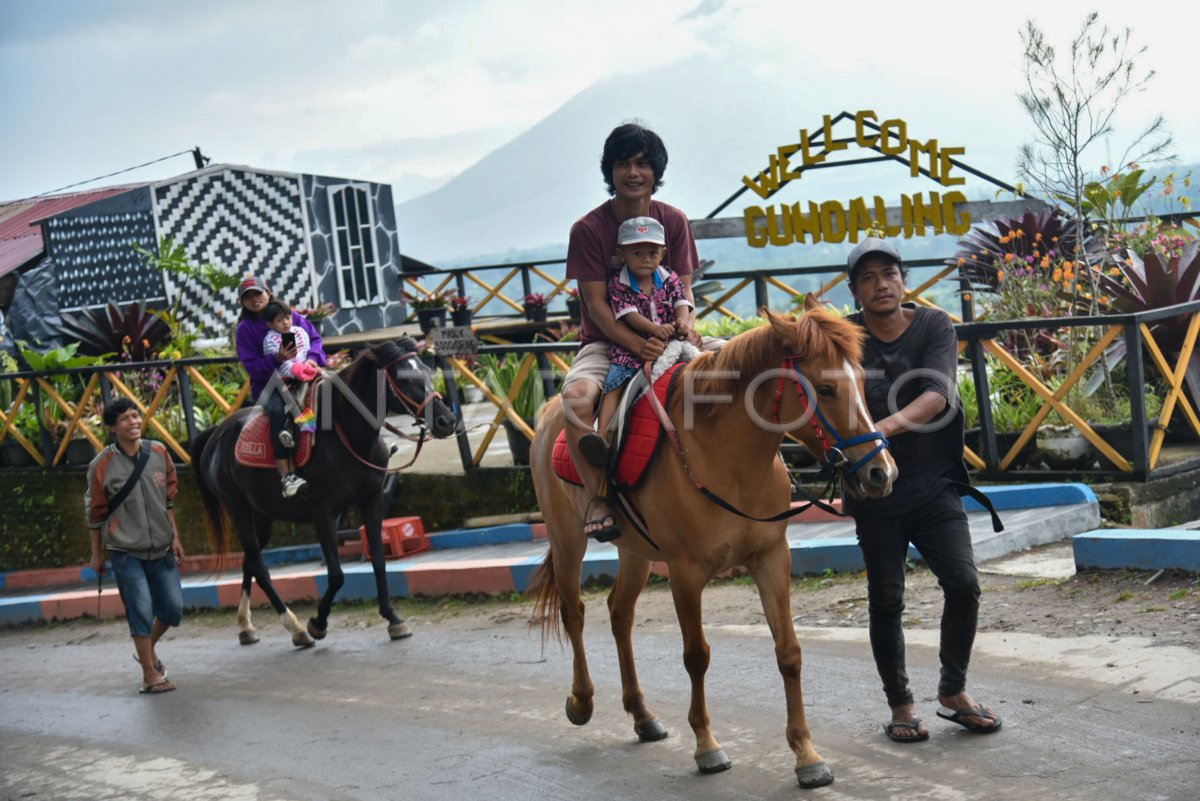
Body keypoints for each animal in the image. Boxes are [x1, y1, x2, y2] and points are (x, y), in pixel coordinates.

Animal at [194, 335, 456, 642]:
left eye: (427, 371)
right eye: (404, 379)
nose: (446, 420)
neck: (347, 433)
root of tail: (216, 433)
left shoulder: (371, 500)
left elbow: (379, 560)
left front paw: (393, 618)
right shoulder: (323, 513)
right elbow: (337, 575)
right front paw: (317, 622)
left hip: (262, 515)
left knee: (250, 562)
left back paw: (246, 626)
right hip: (238, 510)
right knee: (259, 566)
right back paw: (295, 628)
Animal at [530, 298, 897, 786]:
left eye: (859, 381)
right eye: (826, 388)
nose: (881, 472)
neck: (729, 458)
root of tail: (551, 410)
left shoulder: (771, 559)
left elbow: (789, 652)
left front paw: (806, 754)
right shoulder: (685, 573)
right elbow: (696, 656)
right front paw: (706, 745)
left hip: (634, 550)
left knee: (620, 614)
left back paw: (641, 714)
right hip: (568, 539)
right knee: (574, 612)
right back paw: (582, 699)